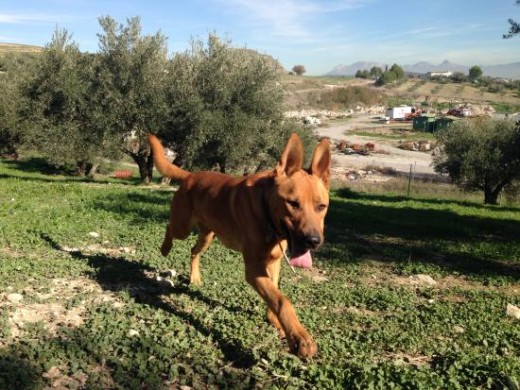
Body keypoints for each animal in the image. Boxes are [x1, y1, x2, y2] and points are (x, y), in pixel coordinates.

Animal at [148, 133, 332, 356]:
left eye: (321, 206)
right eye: (293, 204)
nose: (313, 241)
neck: (267, 213)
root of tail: (191, 175)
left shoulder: (273, 263)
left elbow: (275, 295)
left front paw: (278, 323)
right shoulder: (254, 270)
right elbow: (282, 300)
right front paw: (299, 337)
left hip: (207, 236)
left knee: (193, 251)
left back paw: (195, 277)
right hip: (182, 227)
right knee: (170, 228)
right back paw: (165, 248)